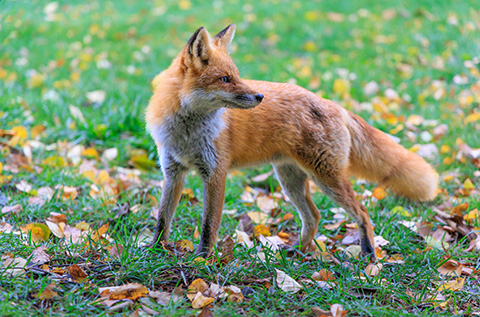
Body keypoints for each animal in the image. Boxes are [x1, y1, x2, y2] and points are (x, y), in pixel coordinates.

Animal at [145, 24, 438, 260]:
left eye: (236, 75)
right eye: (225, 79)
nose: (260, 96)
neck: (186, 134)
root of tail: (334, 105)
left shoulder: (215, 173)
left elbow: (208, 225)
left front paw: (202, 259)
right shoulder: (172, 172)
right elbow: (163, 218)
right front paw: (156, 250)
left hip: (327, 179)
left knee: (363, 213)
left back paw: (369, 255)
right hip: (290, 180)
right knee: (314, 215)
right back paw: (298, 250)